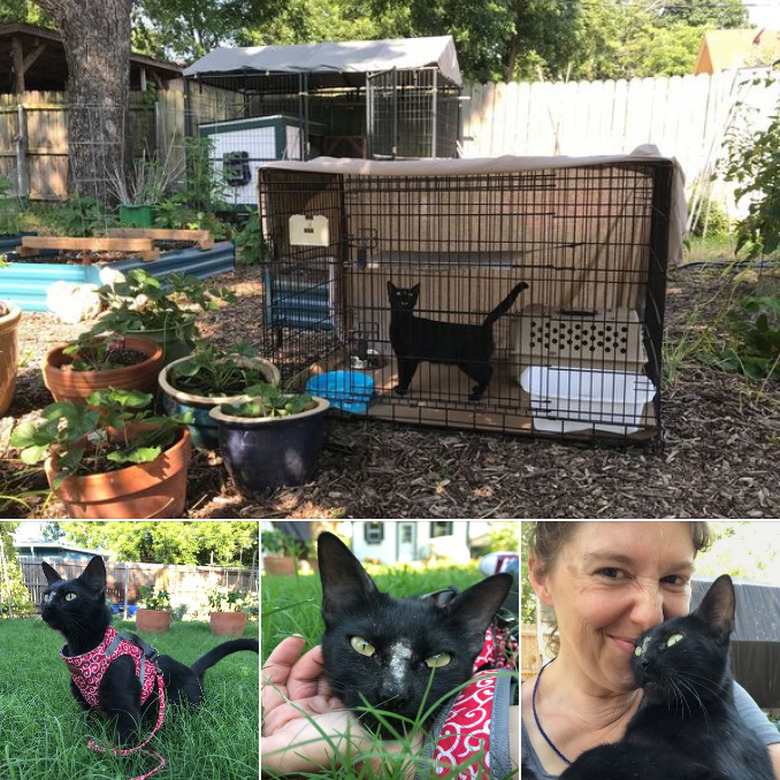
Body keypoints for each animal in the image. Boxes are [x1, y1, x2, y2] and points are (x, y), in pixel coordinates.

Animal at [41, 556, 258, 748]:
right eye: (46, 595)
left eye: (70, 596)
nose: (47, 606)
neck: (85, 651)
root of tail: (192, 671)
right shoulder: (87, 709)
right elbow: (90, 732)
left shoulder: (127, 712)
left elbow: (125, 747)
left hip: (182, 705)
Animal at [386, 278, 528, 402]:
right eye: (398, 293)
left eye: (410, 294)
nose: (404, 301)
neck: (401, 323)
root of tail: (483, 327)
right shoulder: (400, 356)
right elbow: (401, 373)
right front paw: (398, 386)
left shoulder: (411, 357)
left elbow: (407, 374)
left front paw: (402, 390)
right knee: (487, 372)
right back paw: (477, 389)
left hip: (470, 362)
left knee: (488, 373)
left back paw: (476, 396)